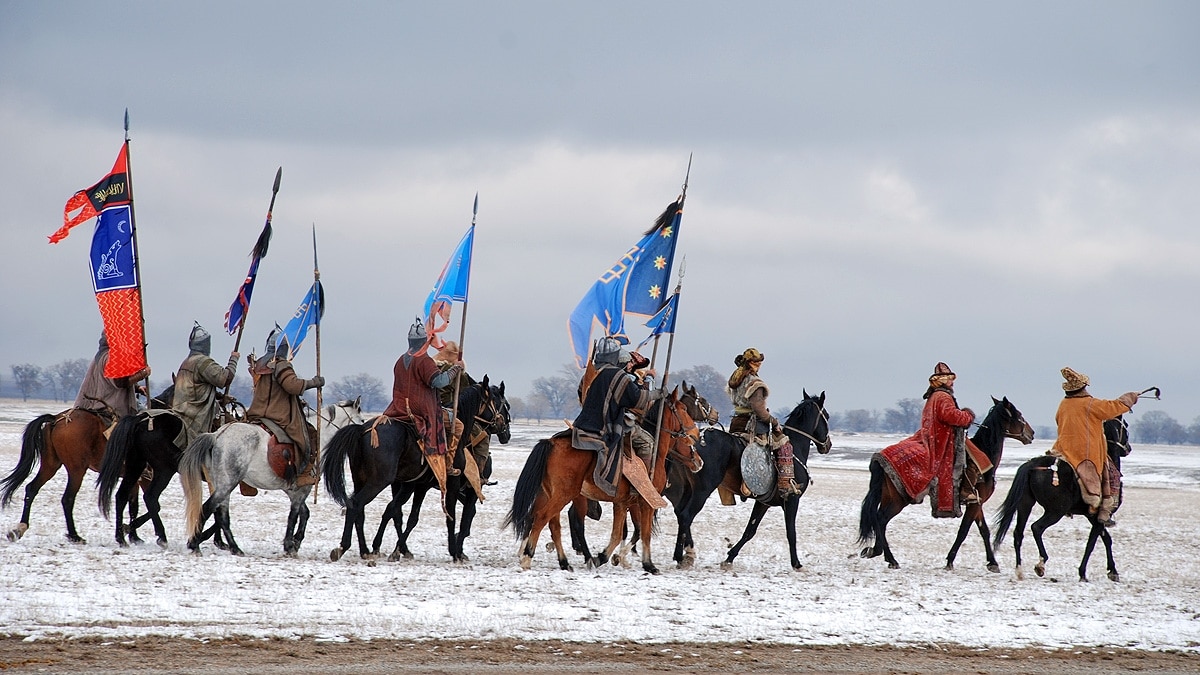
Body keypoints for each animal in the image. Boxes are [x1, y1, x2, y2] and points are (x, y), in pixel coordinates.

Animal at [178, 396, 364, 554]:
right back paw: (197, 544)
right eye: (362, 420)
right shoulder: (302, 490)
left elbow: (304, 513)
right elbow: (294, 515)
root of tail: (217, 435)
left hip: (221, 483)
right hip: (227, 483)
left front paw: (296, 541)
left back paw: (232, 547)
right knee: (209, 508)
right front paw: (290, 544)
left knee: (221, 514)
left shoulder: (293, 489)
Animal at [321, 374, 504, 559]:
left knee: (365, 511)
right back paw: (347, 547)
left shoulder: (421, 485)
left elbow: (411, 517)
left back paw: (366, 549)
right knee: (356, 505)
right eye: (499, 402)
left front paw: (397, 549)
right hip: (379, 481)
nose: (505, 429)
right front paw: (454, 552)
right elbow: (452, 517)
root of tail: (362, 430)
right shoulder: (454, 485)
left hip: (361, 479)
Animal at [504, 389, 700, 571]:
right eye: (684, 409)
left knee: (551, 523)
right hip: (565, 495)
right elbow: (644, 533)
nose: (696, 435)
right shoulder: (645, 503)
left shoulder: (622, 503)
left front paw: (605, 557)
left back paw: (564, 561)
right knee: (545, 518)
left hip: (551, 494)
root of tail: (551, 443)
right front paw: (648, 564)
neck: (655, 454)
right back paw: (529, 557)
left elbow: (618, 534)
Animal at [859, 393, 1036, 566]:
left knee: (878, 519)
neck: (985, 453)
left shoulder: (977, 502)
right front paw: (950, 560)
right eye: (1018, 415)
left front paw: (992, 562)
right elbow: (964, 530)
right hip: (899, 500)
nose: (1032, 433)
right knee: (881, 519)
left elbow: (984, 530)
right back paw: (890, 558)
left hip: (888, 496)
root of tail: (878, 459)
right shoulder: (975, 502)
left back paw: (876, 551)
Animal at [988, 413, 1128, 581]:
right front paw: (1084, 572)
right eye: (1125, 426)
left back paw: (1019, 570)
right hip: (1055, 512)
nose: (1128, 448)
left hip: (1025, 505)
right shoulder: (1100, 516)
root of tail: (1032, 465)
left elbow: (1106, 539)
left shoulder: (1092, 516)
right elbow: (1092, 543)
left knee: (1018, 533)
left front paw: (1112, 570)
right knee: (1036, 527)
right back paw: (1041, 563)